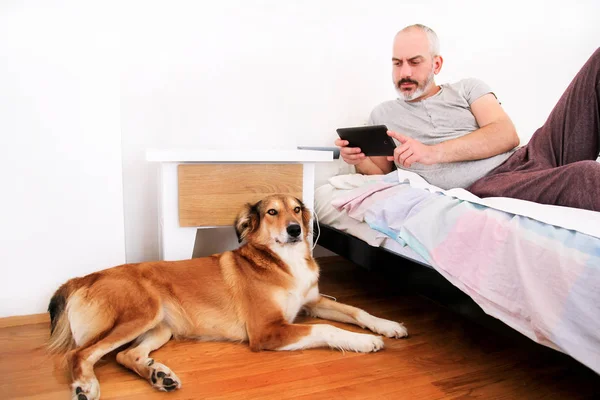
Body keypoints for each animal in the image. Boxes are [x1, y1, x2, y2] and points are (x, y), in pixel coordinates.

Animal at [48, 195, 408, 400]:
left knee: (126, 355)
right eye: (272, 212)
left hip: (160, 327)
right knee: (79, 354)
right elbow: (328, 329)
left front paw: (388, 325)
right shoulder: (268, 331)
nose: (295, 229)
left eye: (296, 210)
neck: (282, 261)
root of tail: (82, 278)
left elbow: (357, 310)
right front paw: (363, 341)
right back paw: (84, 387)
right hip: (141, 313)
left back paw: (159, 375)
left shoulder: (312, 303)